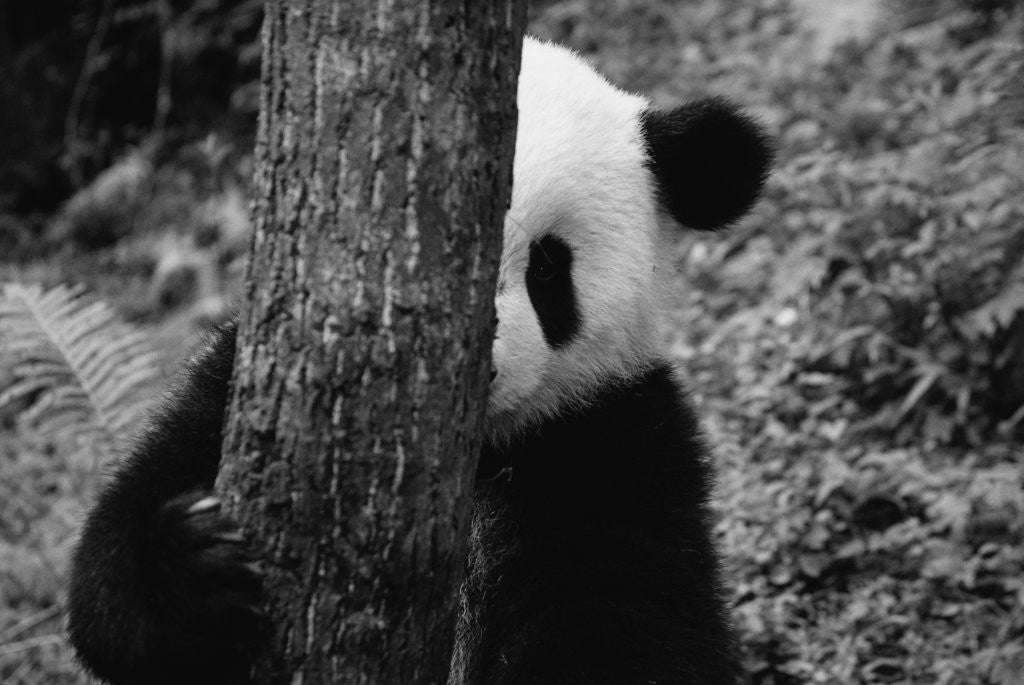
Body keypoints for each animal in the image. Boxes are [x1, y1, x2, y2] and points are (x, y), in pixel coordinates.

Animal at [67, 37, 771, 685]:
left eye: (547, 266)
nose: (479, 371)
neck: (481, 453)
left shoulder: (613, 438)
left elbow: (630, 622)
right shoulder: (242, 382)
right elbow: (127, 536)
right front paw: (196, 569)